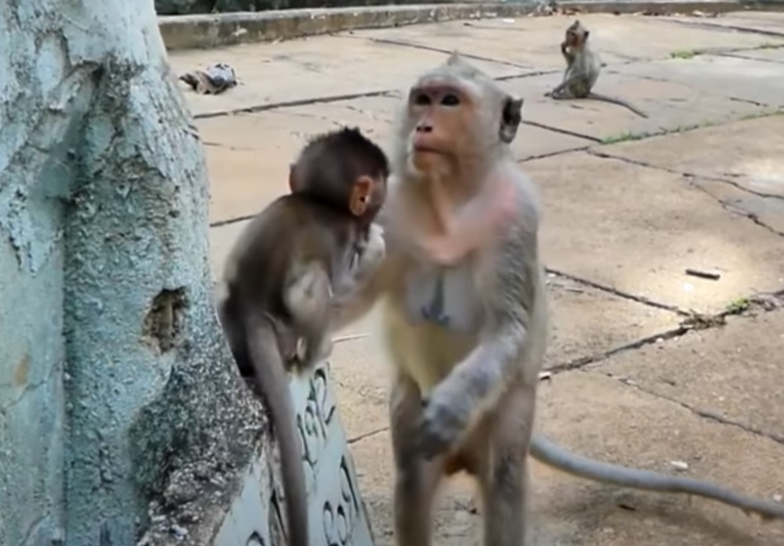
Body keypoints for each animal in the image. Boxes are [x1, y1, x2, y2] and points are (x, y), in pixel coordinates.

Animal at [217, 127, 389, 546]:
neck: (318, 202)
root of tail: (249, 309)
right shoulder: (344, 238)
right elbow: (344, 284)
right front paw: (377, 243)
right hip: (288, 325)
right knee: (313, 285)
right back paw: (312, 355)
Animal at [325, 53, 784, 546]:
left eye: (449, 101)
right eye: (422, 99)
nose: (423, 126)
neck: (450, 196)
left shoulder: (517, 218)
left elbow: (508, 327)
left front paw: (452, 408)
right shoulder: (390, 213)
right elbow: (352, 299)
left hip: (510, 408)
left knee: (505, 478)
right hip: (410, 400)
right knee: (412, 478)